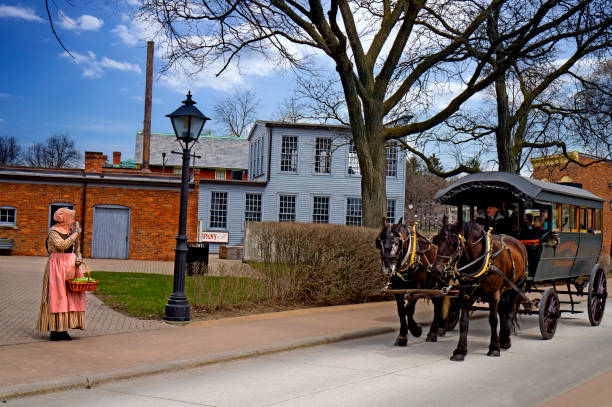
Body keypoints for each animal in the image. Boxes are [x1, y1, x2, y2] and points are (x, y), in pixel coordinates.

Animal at [372, 218, 454, 346]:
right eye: (379, 243)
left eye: (397, 243)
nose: (387, 268)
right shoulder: (397, 288)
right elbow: (401, 311)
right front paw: (402, 336)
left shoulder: (417, 287)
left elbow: (409, 309)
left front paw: (416, 329)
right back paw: (438, 329)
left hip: (440, 285)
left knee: (438, 306)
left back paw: (433, 333)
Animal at [432, 218, 528, 362]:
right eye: (439, 240)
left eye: (454, 243)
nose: (436, 270)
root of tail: (518, 243)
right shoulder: (466, 294)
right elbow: (464, 321)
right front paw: (460, 350)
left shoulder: (494, 294)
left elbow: (493, 320)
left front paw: (494, 348)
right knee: (504, 312)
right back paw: (503, 338)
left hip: (517, 287)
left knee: (511, 312)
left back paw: (504, 339)